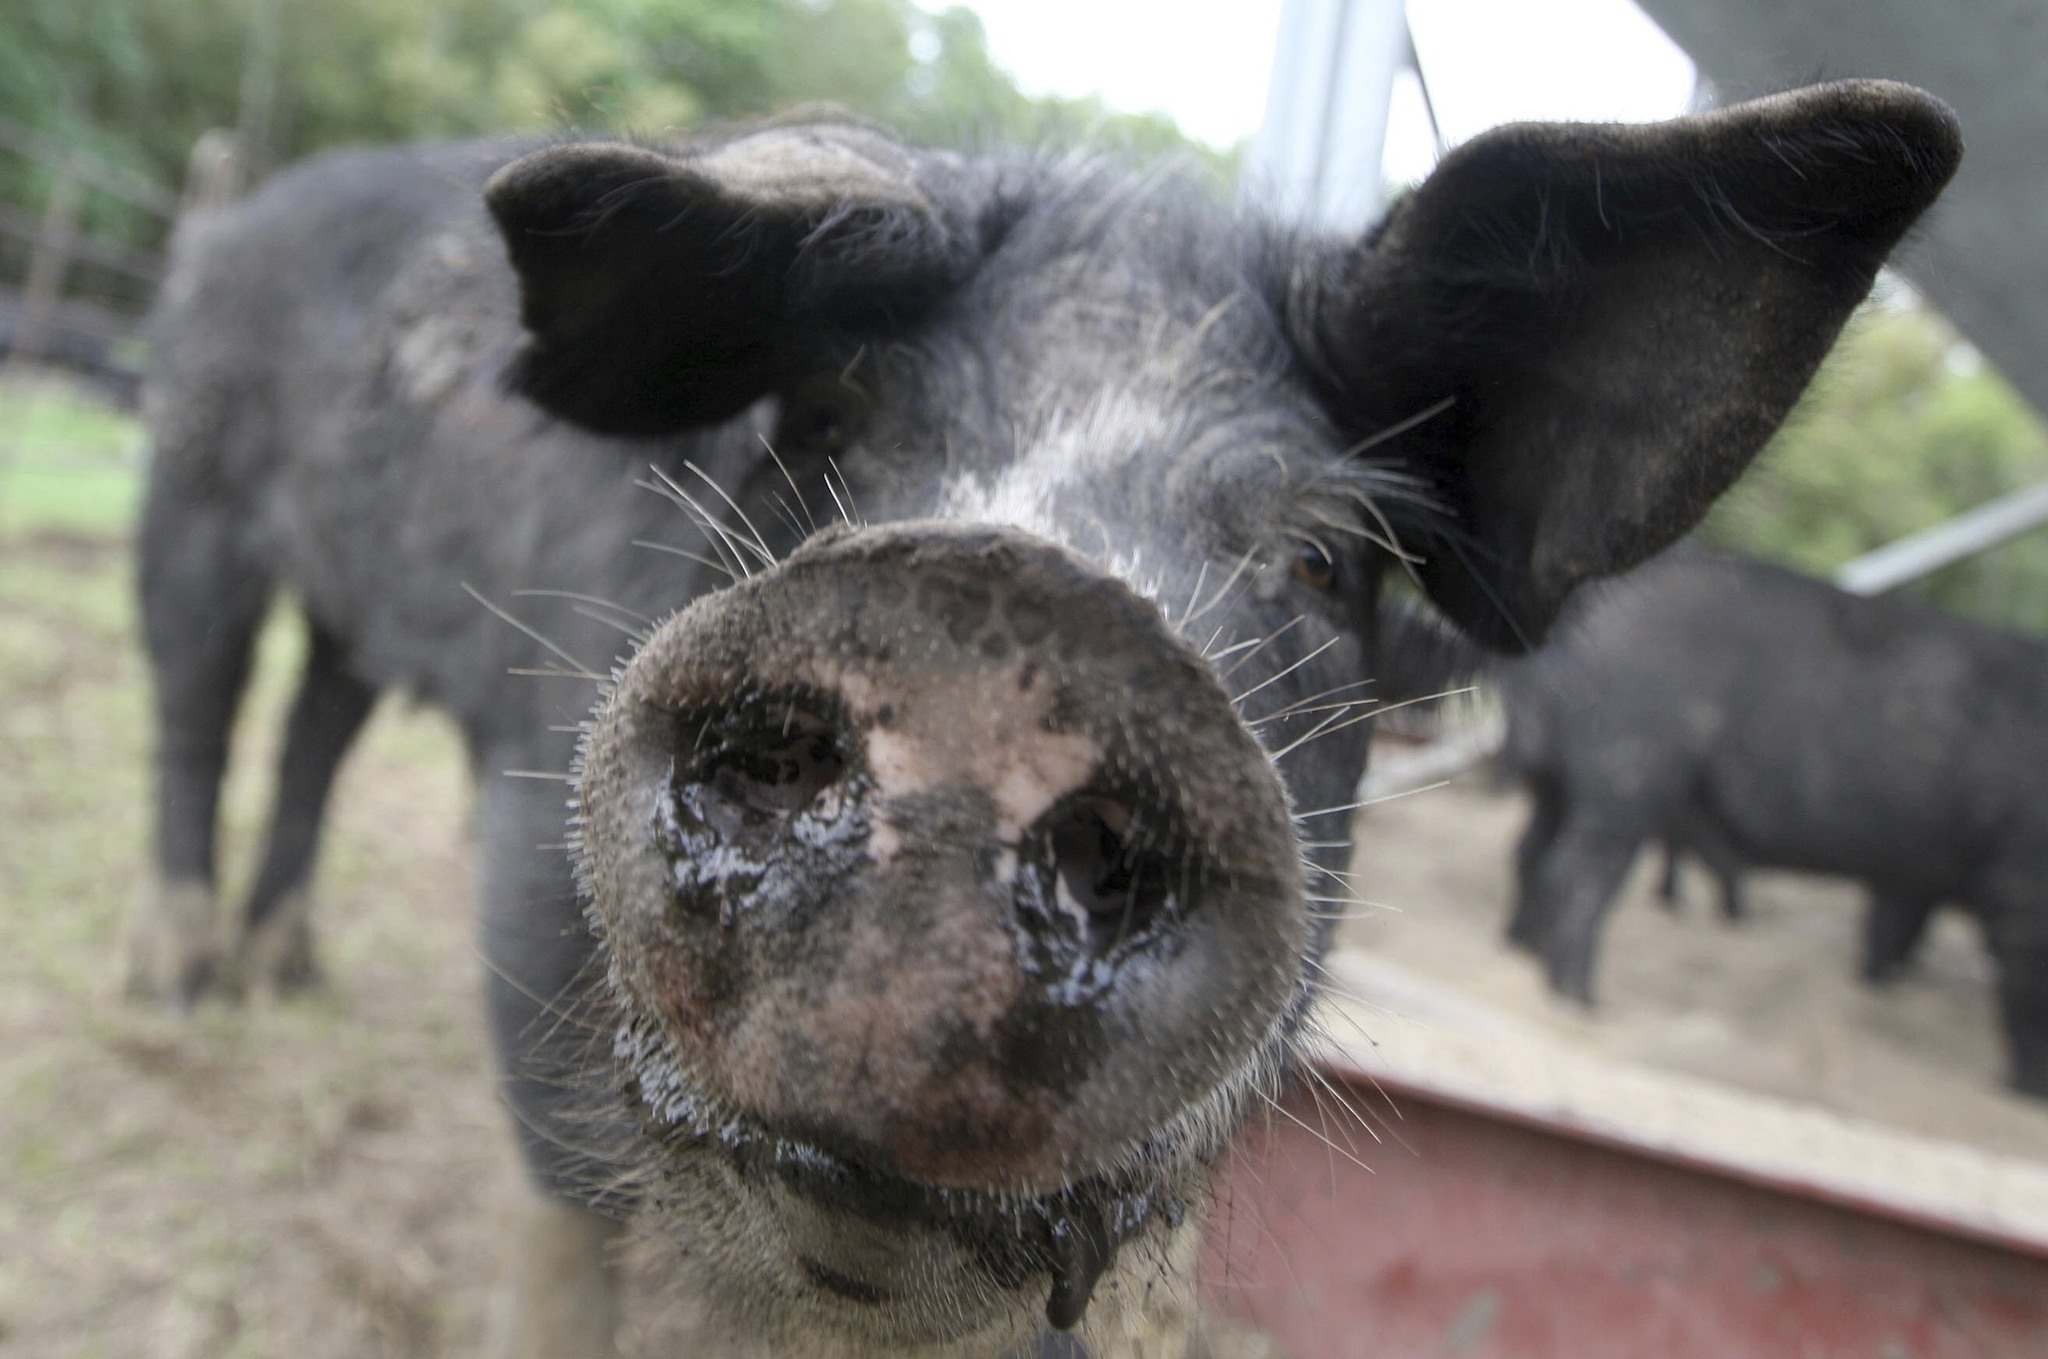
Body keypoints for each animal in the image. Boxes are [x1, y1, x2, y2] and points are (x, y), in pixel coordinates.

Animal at [124, 85, 1959, 1356]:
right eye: (829, 419)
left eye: (1322, 557)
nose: (998, 608)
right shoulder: (526, 866)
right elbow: (568, 1236)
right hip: (190, 485)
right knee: (198, 712)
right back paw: (178, 991)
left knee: (317, 721)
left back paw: (285, 972)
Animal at [1499, 547, 2045, 1098]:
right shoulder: (2021, 887)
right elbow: (2025, 992)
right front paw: (2029, 1089)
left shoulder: (1917, 875)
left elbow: (1892, 931)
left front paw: (1878, 987)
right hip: (1628, 771)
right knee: (1580, 875)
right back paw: (1582, 1000)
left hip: (1570, 785)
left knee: (1533, 852)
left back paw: (1523, 952)